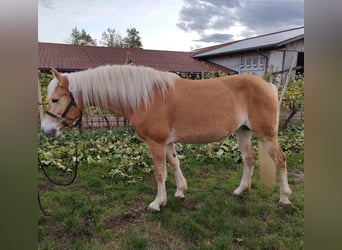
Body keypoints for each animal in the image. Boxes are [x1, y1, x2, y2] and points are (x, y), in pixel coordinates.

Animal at [40, 64, 292, 211]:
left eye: (55, 99)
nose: (46, 130)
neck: (145, 97)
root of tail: (268, 85)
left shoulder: (156, 143)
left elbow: (160, 172)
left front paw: (157, 202)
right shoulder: (167, 142)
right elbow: (174, 164)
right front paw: (180, 191)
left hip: (266, 135)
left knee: (280, 160)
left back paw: (285, 198)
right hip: (242, 131)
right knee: (249, 159)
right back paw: (241, 190)